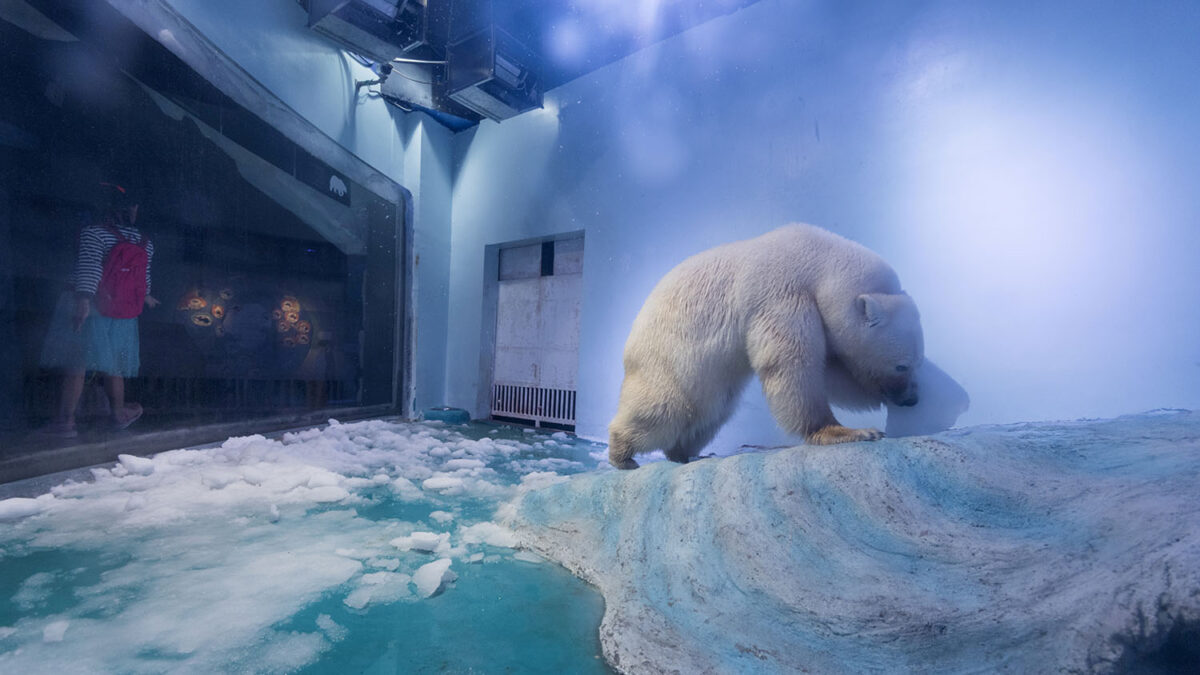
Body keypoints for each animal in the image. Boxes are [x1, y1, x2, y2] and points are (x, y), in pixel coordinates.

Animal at [609, 224, 926, 468]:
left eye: (917, 363)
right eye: (902, 365)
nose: (912, 399)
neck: (819, 262)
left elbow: (831, 369)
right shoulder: (782, 295)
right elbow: (793, 365)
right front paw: (852, 431)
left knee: (709, 413)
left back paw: (686, 454)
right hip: (666, 360)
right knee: (665, 408)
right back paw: (623, 454)